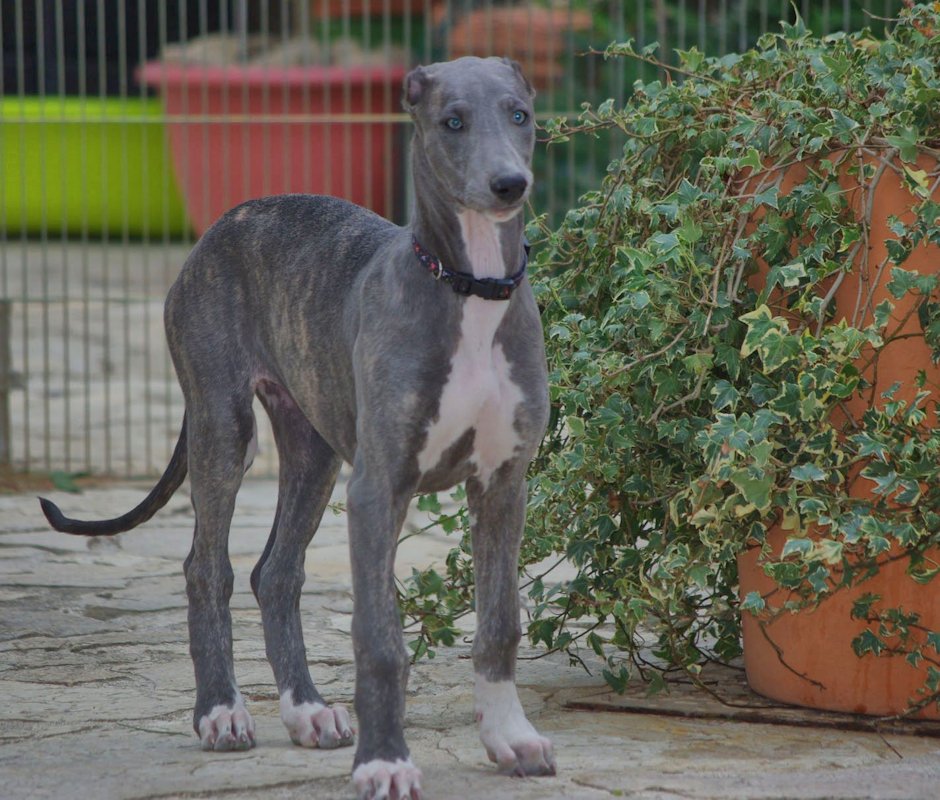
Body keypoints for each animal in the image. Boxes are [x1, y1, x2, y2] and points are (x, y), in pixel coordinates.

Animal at [40, 56, 554, 800]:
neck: (467, 288)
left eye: (520, 114)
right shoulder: (378, 488)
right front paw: (384, 761)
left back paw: (306, 709)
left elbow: (500, 623)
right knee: (207, 567)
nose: (509, 184)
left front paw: (510, 737)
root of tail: (222, 223)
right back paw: (221, 711)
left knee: (275, 573)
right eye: (452, 121)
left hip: (313, 450)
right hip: (223, 425)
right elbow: (379, 638)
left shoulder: (504, 484)